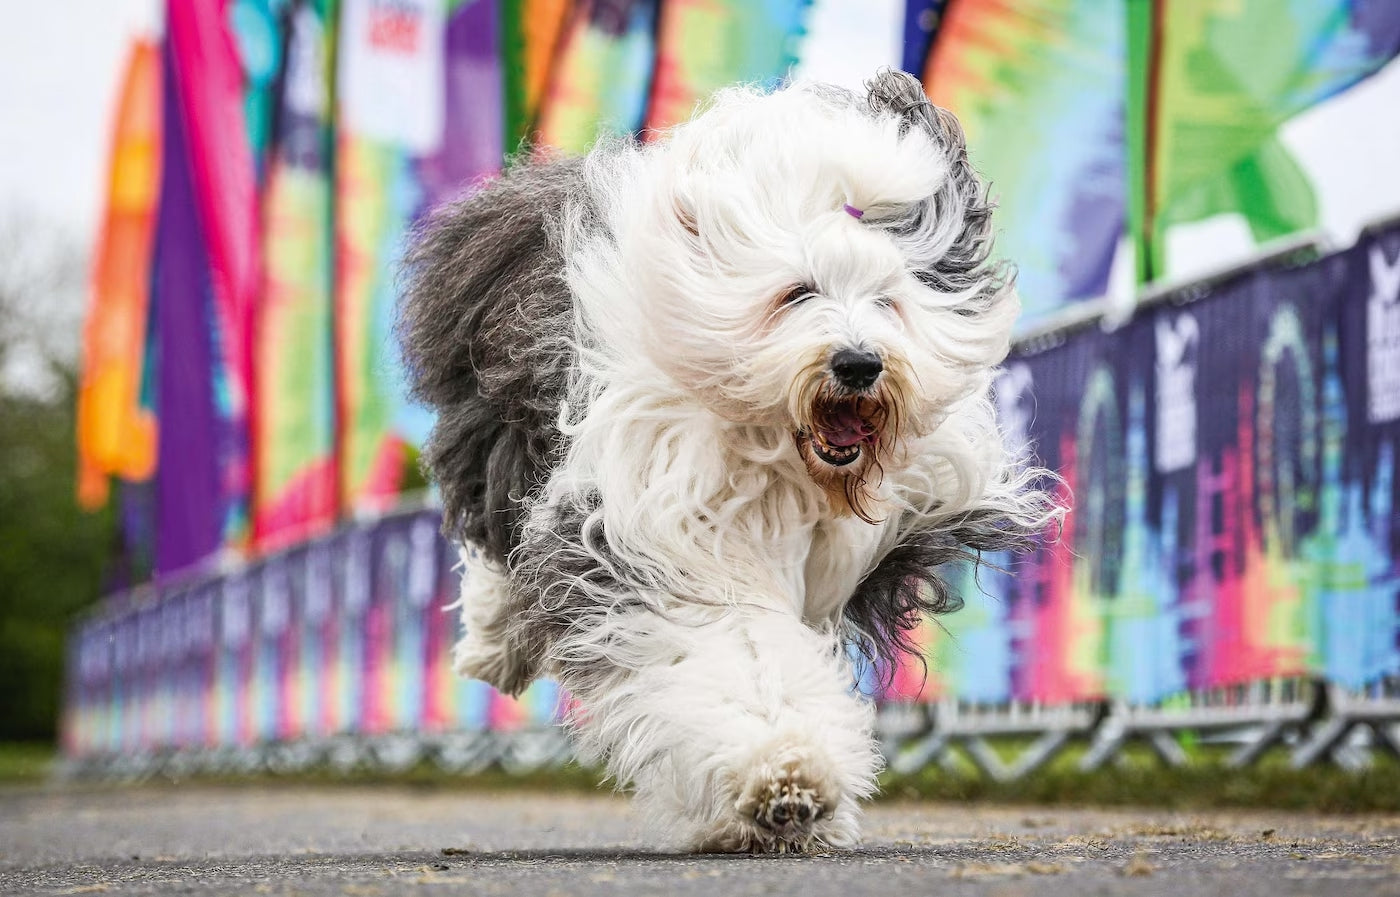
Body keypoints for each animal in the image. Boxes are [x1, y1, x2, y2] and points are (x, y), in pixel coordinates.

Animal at [400, 69, 1052, 850]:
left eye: (888, 301)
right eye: (798, 292)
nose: (859, 364)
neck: (784, 455)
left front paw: (800, 793)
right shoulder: (666, 531)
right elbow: (735, 645)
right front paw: (783, 774)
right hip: (499, 430)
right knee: (497, 543)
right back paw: (492, 647)